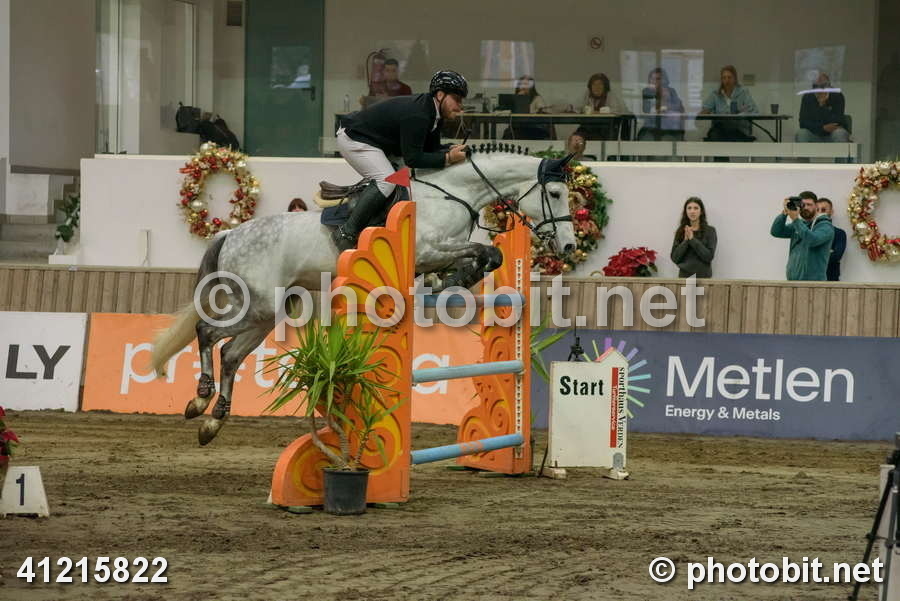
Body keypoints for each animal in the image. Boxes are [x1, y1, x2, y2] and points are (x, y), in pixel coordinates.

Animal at [150, 148, 578, 445]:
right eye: (556, 193)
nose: (570, 246)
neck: (454, 195)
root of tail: (231, 233)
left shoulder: (442, 250)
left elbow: (487, 255)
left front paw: (453, 279)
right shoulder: (427, 249)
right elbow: (481, 251)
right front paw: (455, 277)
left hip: (267, 312)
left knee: (231, 354)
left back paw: (212, 419)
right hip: (258, 305)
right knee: (208, 333)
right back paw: (200, 399)